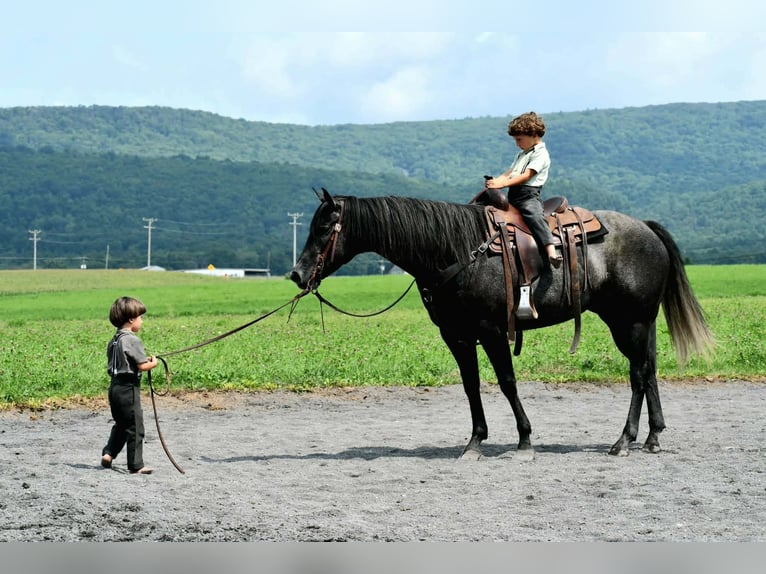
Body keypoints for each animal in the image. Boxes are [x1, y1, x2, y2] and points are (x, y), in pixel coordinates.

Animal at [290, 189, 715, 460]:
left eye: (325, 229)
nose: (297, 274)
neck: (454, 250)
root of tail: (645, 227)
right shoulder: (457, 336)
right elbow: (471, 387)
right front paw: (474, 443)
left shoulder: (491, 331)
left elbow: (507, 383)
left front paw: (524, 441)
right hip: (641, 322)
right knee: (649, 369)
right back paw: (653, 437)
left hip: (629, 321)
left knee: (638, 375)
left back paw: (624, 441)